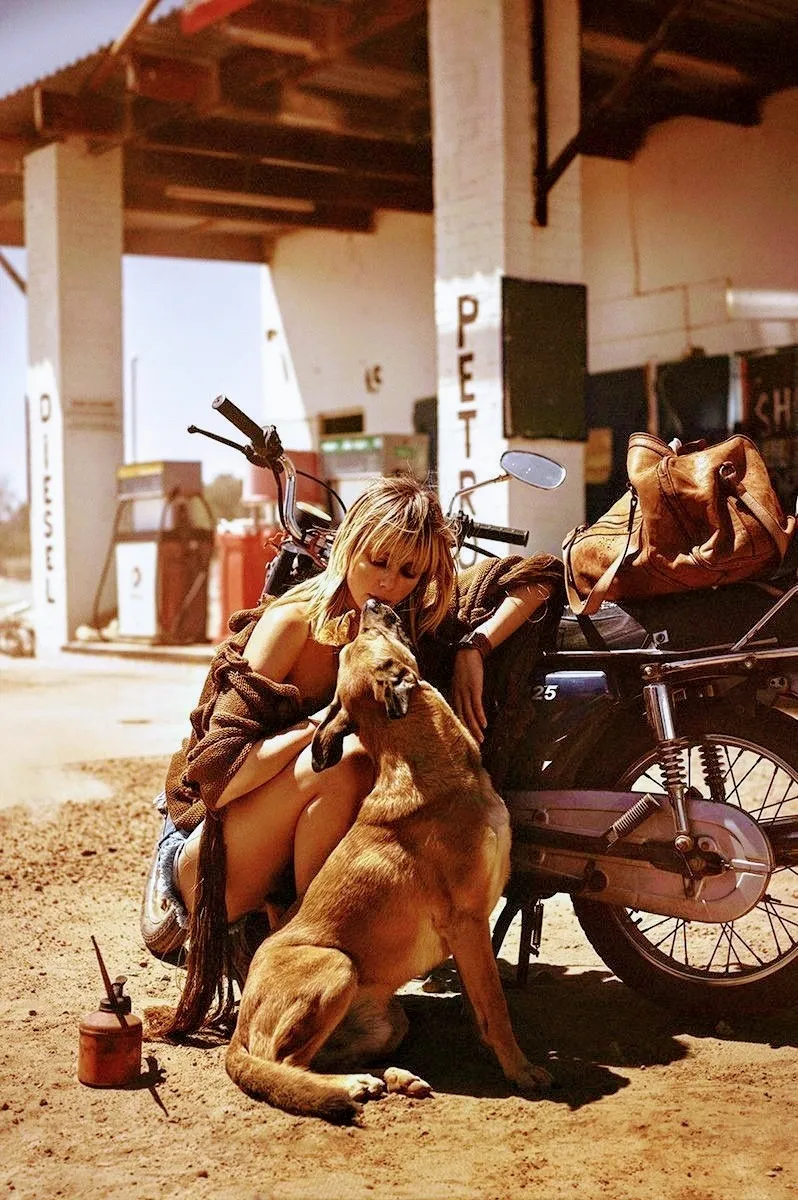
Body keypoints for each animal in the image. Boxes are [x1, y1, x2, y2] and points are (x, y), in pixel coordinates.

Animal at [225, 598, 552, 1120]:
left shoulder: (473, 928)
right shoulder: (467, 920)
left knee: (319, 1059)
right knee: (285, 1061)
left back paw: (389, 1077)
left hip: (389, 1021)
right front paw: (520, 1070)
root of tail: (236, 1030)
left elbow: (481, 999)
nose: (372, 603)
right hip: (337, 966)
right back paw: (346, 1087)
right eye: (369, 636)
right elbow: (496, 1006)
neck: (422, 761)